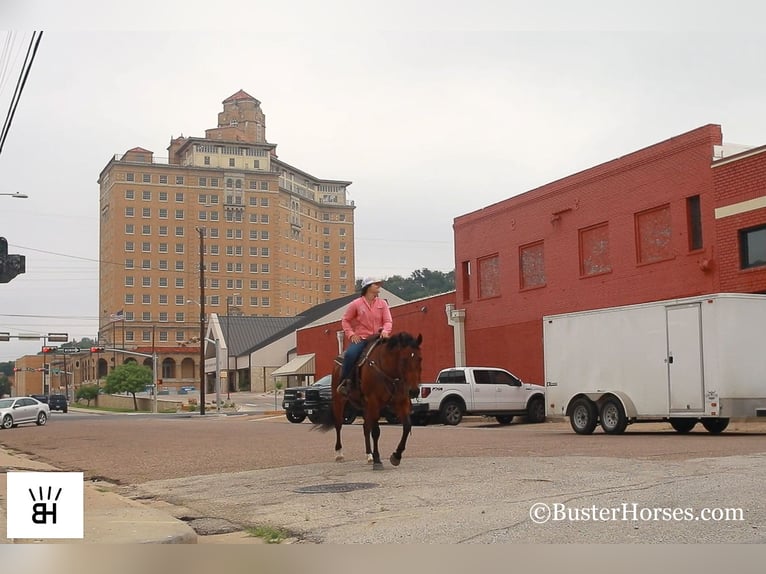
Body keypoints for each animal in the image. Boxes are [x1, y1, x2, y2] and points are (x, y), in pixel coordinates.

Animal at [326, 332, 426, 472]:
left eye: (420, 359)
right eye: (404, 359)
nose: (414, 391)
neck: (387, 370)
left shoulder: (401, 402)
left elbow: (407, 426)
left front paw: (396, 456)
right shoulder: (374, 402)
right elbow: (376, 432)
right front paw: (378, 460)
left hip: (365, 406)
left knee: (365, 427)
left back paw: (369, 455)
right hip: (339, 401)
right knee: (339, 425)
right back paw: (339, 454)